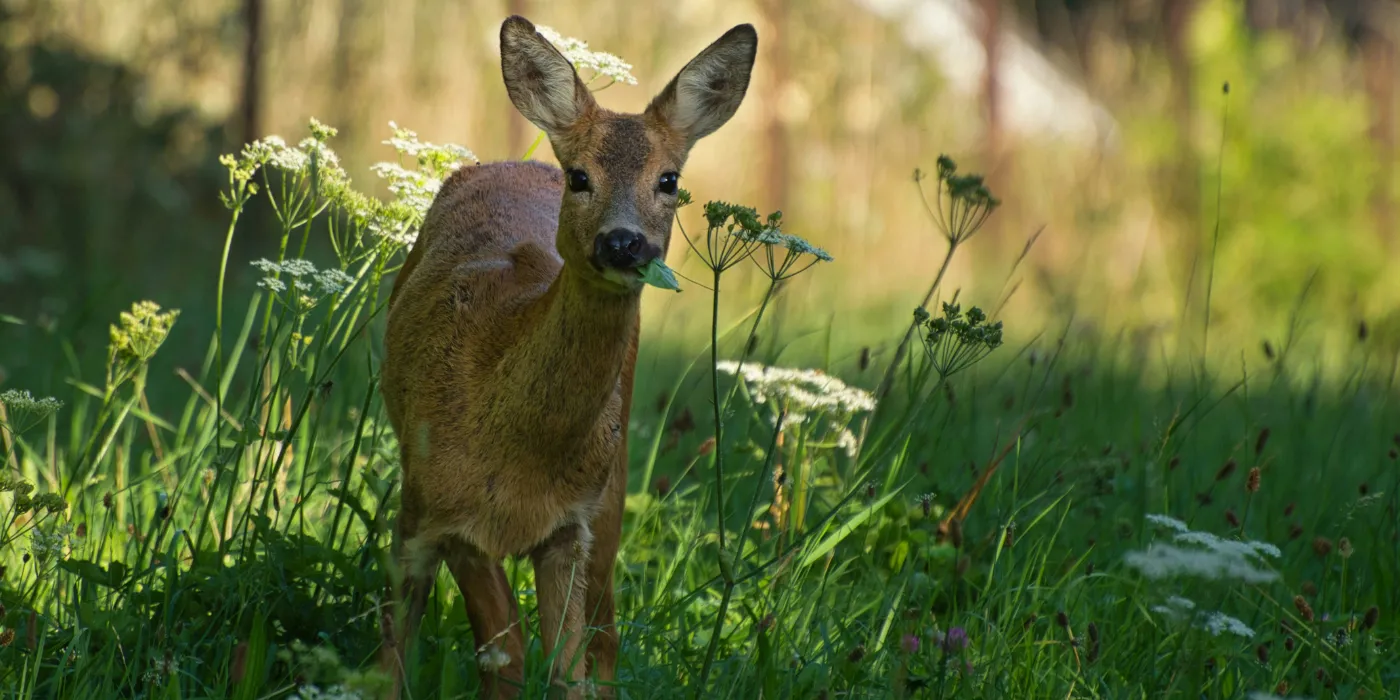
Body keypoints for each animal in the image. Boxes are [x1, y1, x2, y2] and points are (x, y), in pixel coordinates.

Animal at [378, 15, 758, 698]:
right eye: (580, 176)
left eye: (669, 180)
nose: (624, 242)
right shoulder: (445, 510)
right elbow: (492, 653)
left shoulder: (569, 528)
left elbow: (563, 667)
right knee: (422, 615)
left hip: (612, 484)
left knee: (605, 636)